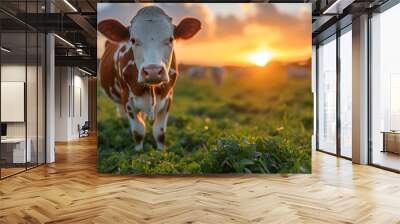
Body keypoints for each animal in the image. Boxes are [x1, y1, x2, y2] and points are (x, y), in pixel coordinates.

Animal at [99, 6, 202, 150]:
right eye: (133, 40)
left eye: (170, 39)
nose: (153, 71)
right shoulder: (128, 99)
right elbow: (138, 131)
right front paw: (138, 150)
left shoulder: (168, 98)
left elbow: (159, 131)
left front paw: (161, 151)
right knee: (121, 113)